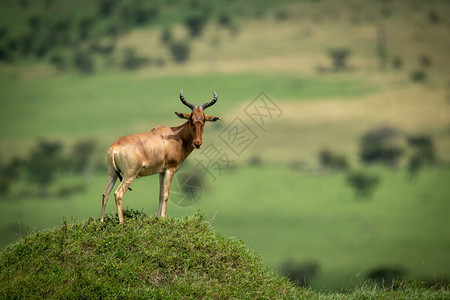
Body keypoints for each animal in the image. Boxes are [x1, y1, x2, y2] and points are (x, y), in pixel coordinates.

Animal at [101, 89, 221, 223]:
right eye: (191, 119)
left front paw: (158, 218)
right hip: (129, 174)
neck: (175, 136)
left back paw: (101, 221)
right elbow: (166, 195)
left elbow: (160, 194)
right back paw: (121, 222)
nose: (198, 143)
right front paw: (163, 219)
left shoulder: (161, 172)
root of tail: (115, 147)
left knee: (105, 194)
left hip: (112, 173)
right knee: (118, 194)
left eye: (204, 120)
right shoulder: (170, 169)